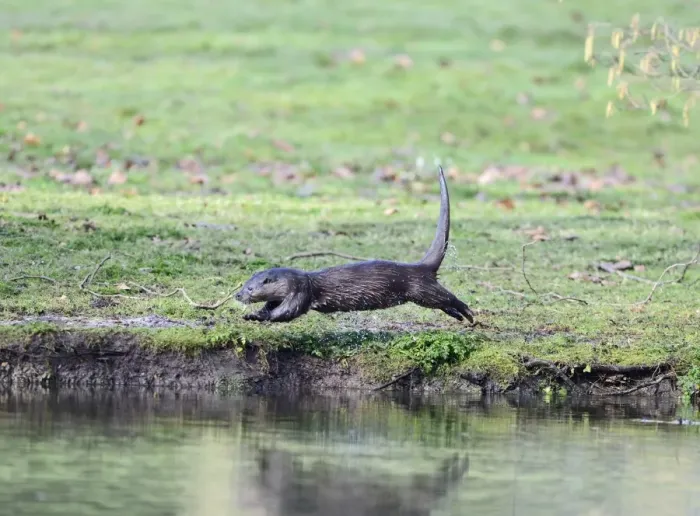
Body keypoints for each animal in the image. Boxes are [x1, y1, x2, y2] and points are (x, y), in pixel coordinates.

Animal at [235, 165, 474, 324]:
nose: (237, 295)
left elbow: (288, 312)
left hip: (422, 289)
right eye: (245, 284)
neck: (300, 281)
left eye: (250, 288)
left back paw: (467, 312)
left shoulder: (300, 291)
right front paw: (254, 314)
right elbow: (271, 307)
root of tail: (421, 267)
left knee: (446, 296)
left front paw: (256, 316)